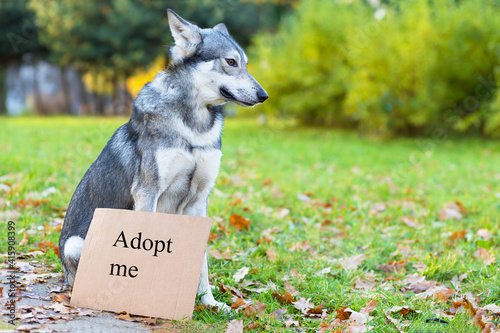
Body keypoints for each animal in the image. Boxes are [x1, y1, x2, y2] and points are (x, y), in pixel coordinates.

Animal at [58, 9, 268, 310]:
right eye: (231, 62)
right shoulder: (147, 192)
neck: (194, 126)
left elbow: (202, 264)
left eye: (246, 64)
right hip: (76, 244)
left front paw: (208, 302)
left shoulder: (198, 201)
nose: (264, 96)